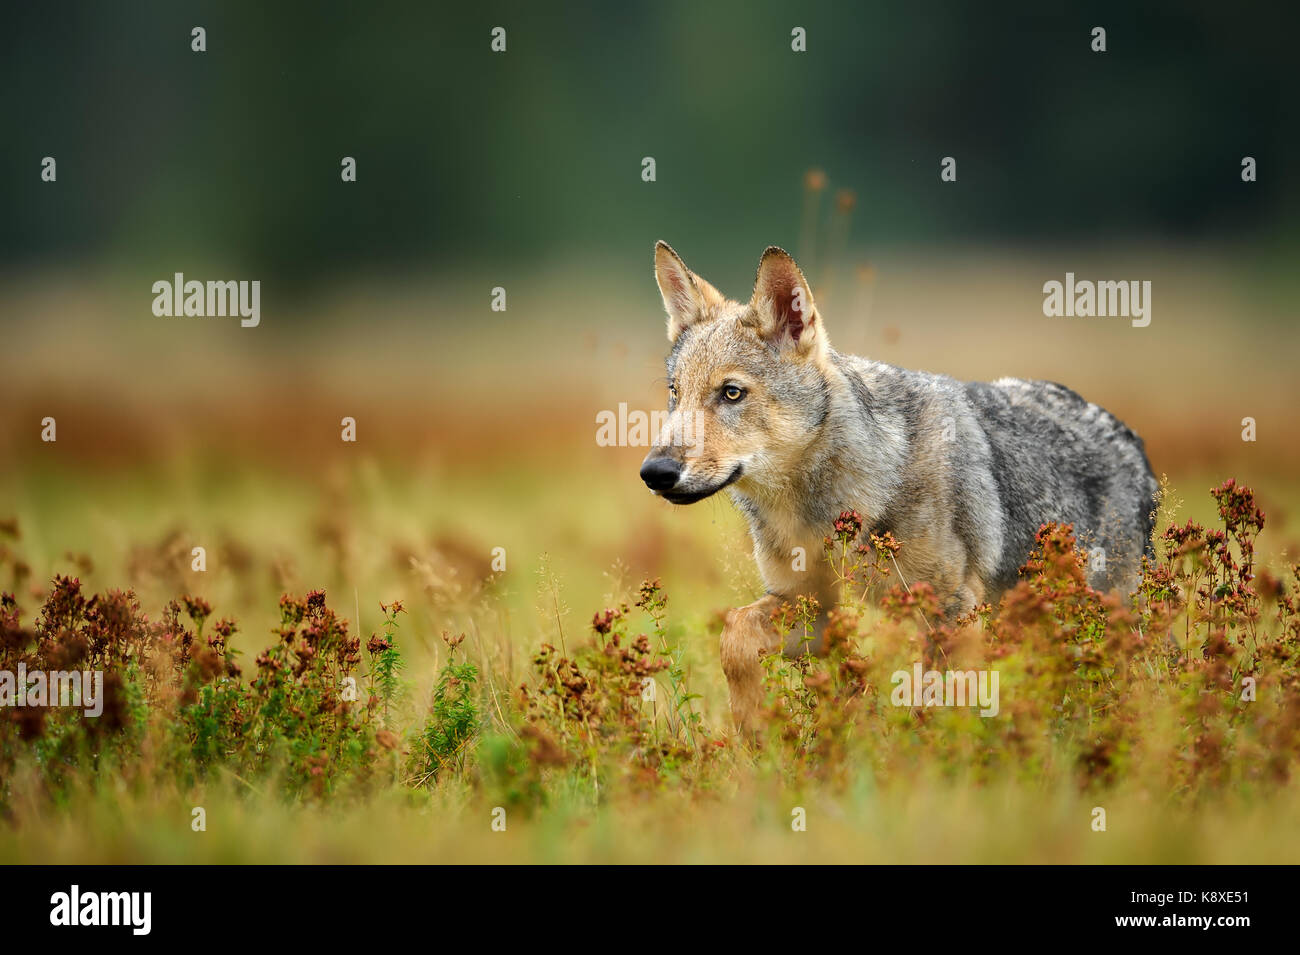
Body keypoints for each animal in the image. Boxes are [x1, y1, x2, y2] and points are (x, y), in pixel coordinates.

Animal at [639, 240, 1159, 732]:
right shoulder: (811, 607)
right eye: (675, 393)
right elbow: (735, 634)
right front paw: (755, 734)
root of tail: (1132, 439)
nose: (654, 472)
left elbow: (941, 708)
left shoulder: (950, 613)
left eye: (731, 393)